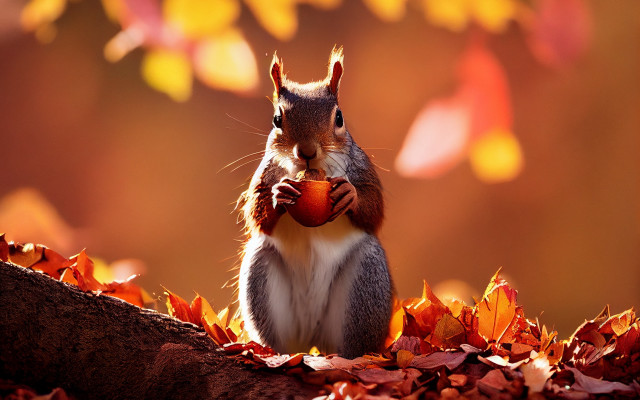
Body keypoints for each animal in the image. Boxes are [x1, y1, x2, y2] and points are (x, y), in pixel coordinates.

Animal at [237, 47, 393, 359]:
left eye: (339, 118)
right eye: (277, 119)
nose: (307, 151)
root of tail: (312, 338)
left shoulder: (362, 169)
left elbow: (374, 210)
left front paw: (350, 195)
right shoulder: (264, 175)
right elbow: (256, 213)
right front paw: (279, 195)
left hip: (366, 285)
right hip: (261, 274)